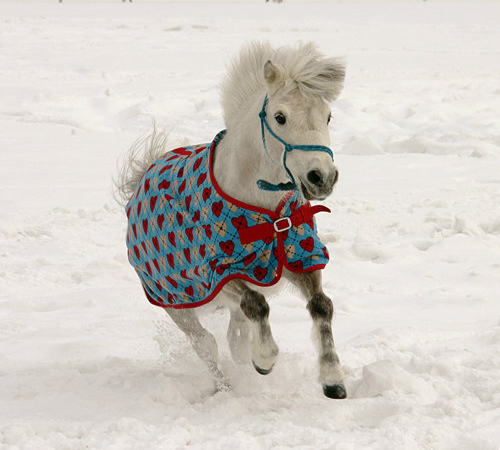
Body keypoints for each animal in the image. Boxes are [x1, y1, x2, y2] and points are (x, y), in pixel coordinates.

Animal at [116, 40, 348, 396]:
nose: (321, 177)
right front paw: (265, 359)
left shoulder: (301, 257)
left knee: (233, 337)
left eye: (328, 115)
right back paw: (225, 387)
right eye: (280, 117)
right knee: (206, 344)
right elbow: (256, 305)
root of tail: (144, 173)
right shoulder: (221, 272)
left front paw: (333, 379)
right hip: (175, 303)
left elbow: (322, 305)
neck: (264, 210)